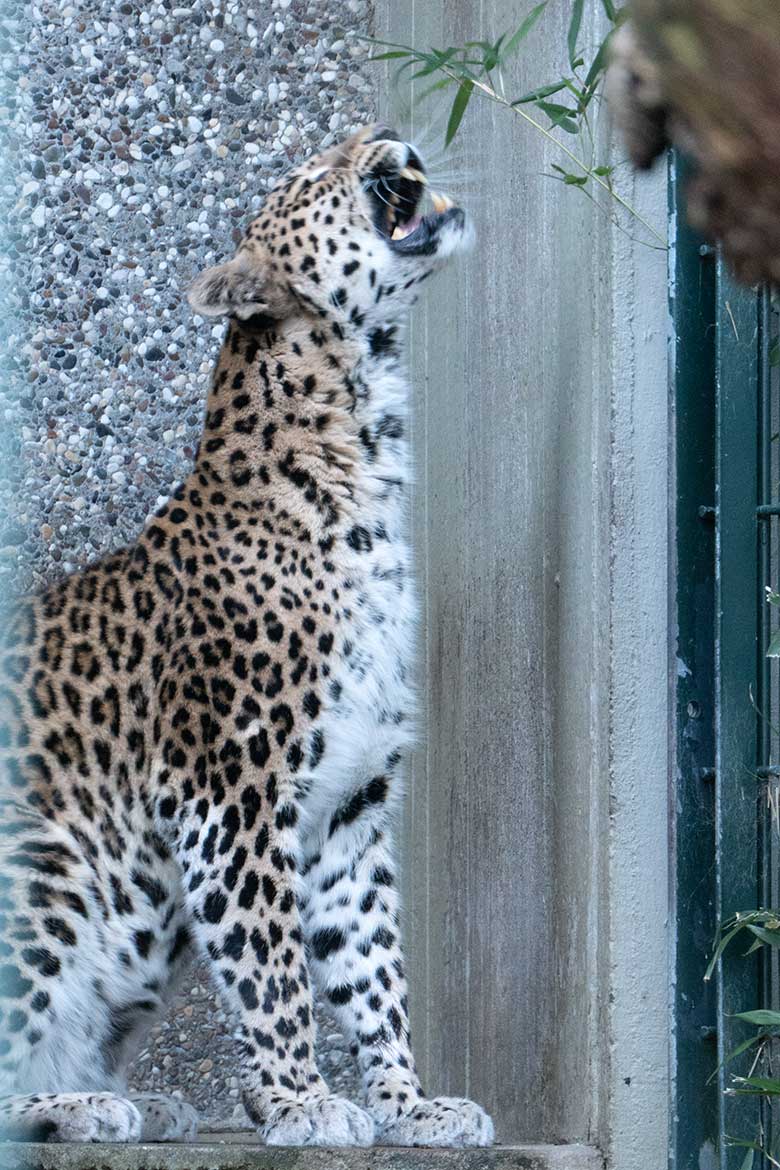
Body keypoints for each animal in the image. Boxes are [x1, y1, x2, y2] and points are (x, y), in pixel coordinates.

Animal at [0, 123, 493, 1146]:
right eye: (316, 170)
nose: (392, 134)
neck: (367, 438)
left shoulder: (352, 800)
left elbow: (373, 965)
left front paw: (408, 1103)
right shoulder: (227, 788)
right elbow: (273, 966)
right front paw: (307, 1101)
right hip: (50, 860)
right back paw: (87, 1105)